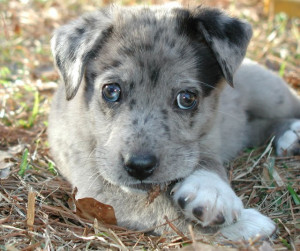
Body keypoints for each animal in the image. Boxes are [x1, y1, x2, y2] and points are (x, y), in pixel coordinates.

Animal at [49, 4, 300, 240]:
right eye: (111, 91)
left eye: (186, 98)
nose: (139, 166)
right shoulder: (94, 186)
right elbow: (162, 210)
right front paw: (241, 225)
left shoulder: (207, 136)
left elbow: (206, 161)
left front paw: (211, 190)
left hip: (269, 92)